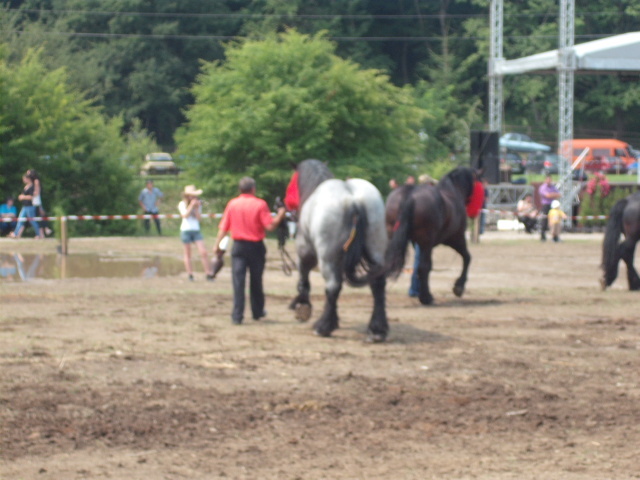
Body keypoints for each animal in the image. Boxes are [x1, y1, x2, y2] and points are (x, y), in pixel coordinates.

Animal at [286, 160, 390, 342]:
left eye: (292, 182)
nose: (283, 203)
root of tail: (353, 199)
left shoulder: (305, 253)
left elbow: (303, 280)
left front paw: (302, 305)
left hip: (327, 258)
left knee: (333, 286)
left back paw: (323, 326)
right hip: (375, 253)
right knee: (378, 285)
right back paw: (377, 330)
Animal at [382, 167, 478, 306]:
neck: (452, 192)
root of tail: (410, 194)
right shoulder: (455, 239)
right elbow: (467, 257)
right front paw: (459, 287)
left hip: (393, 238)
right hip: (428, 242)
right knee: (424, 267)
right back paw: (426, 297)